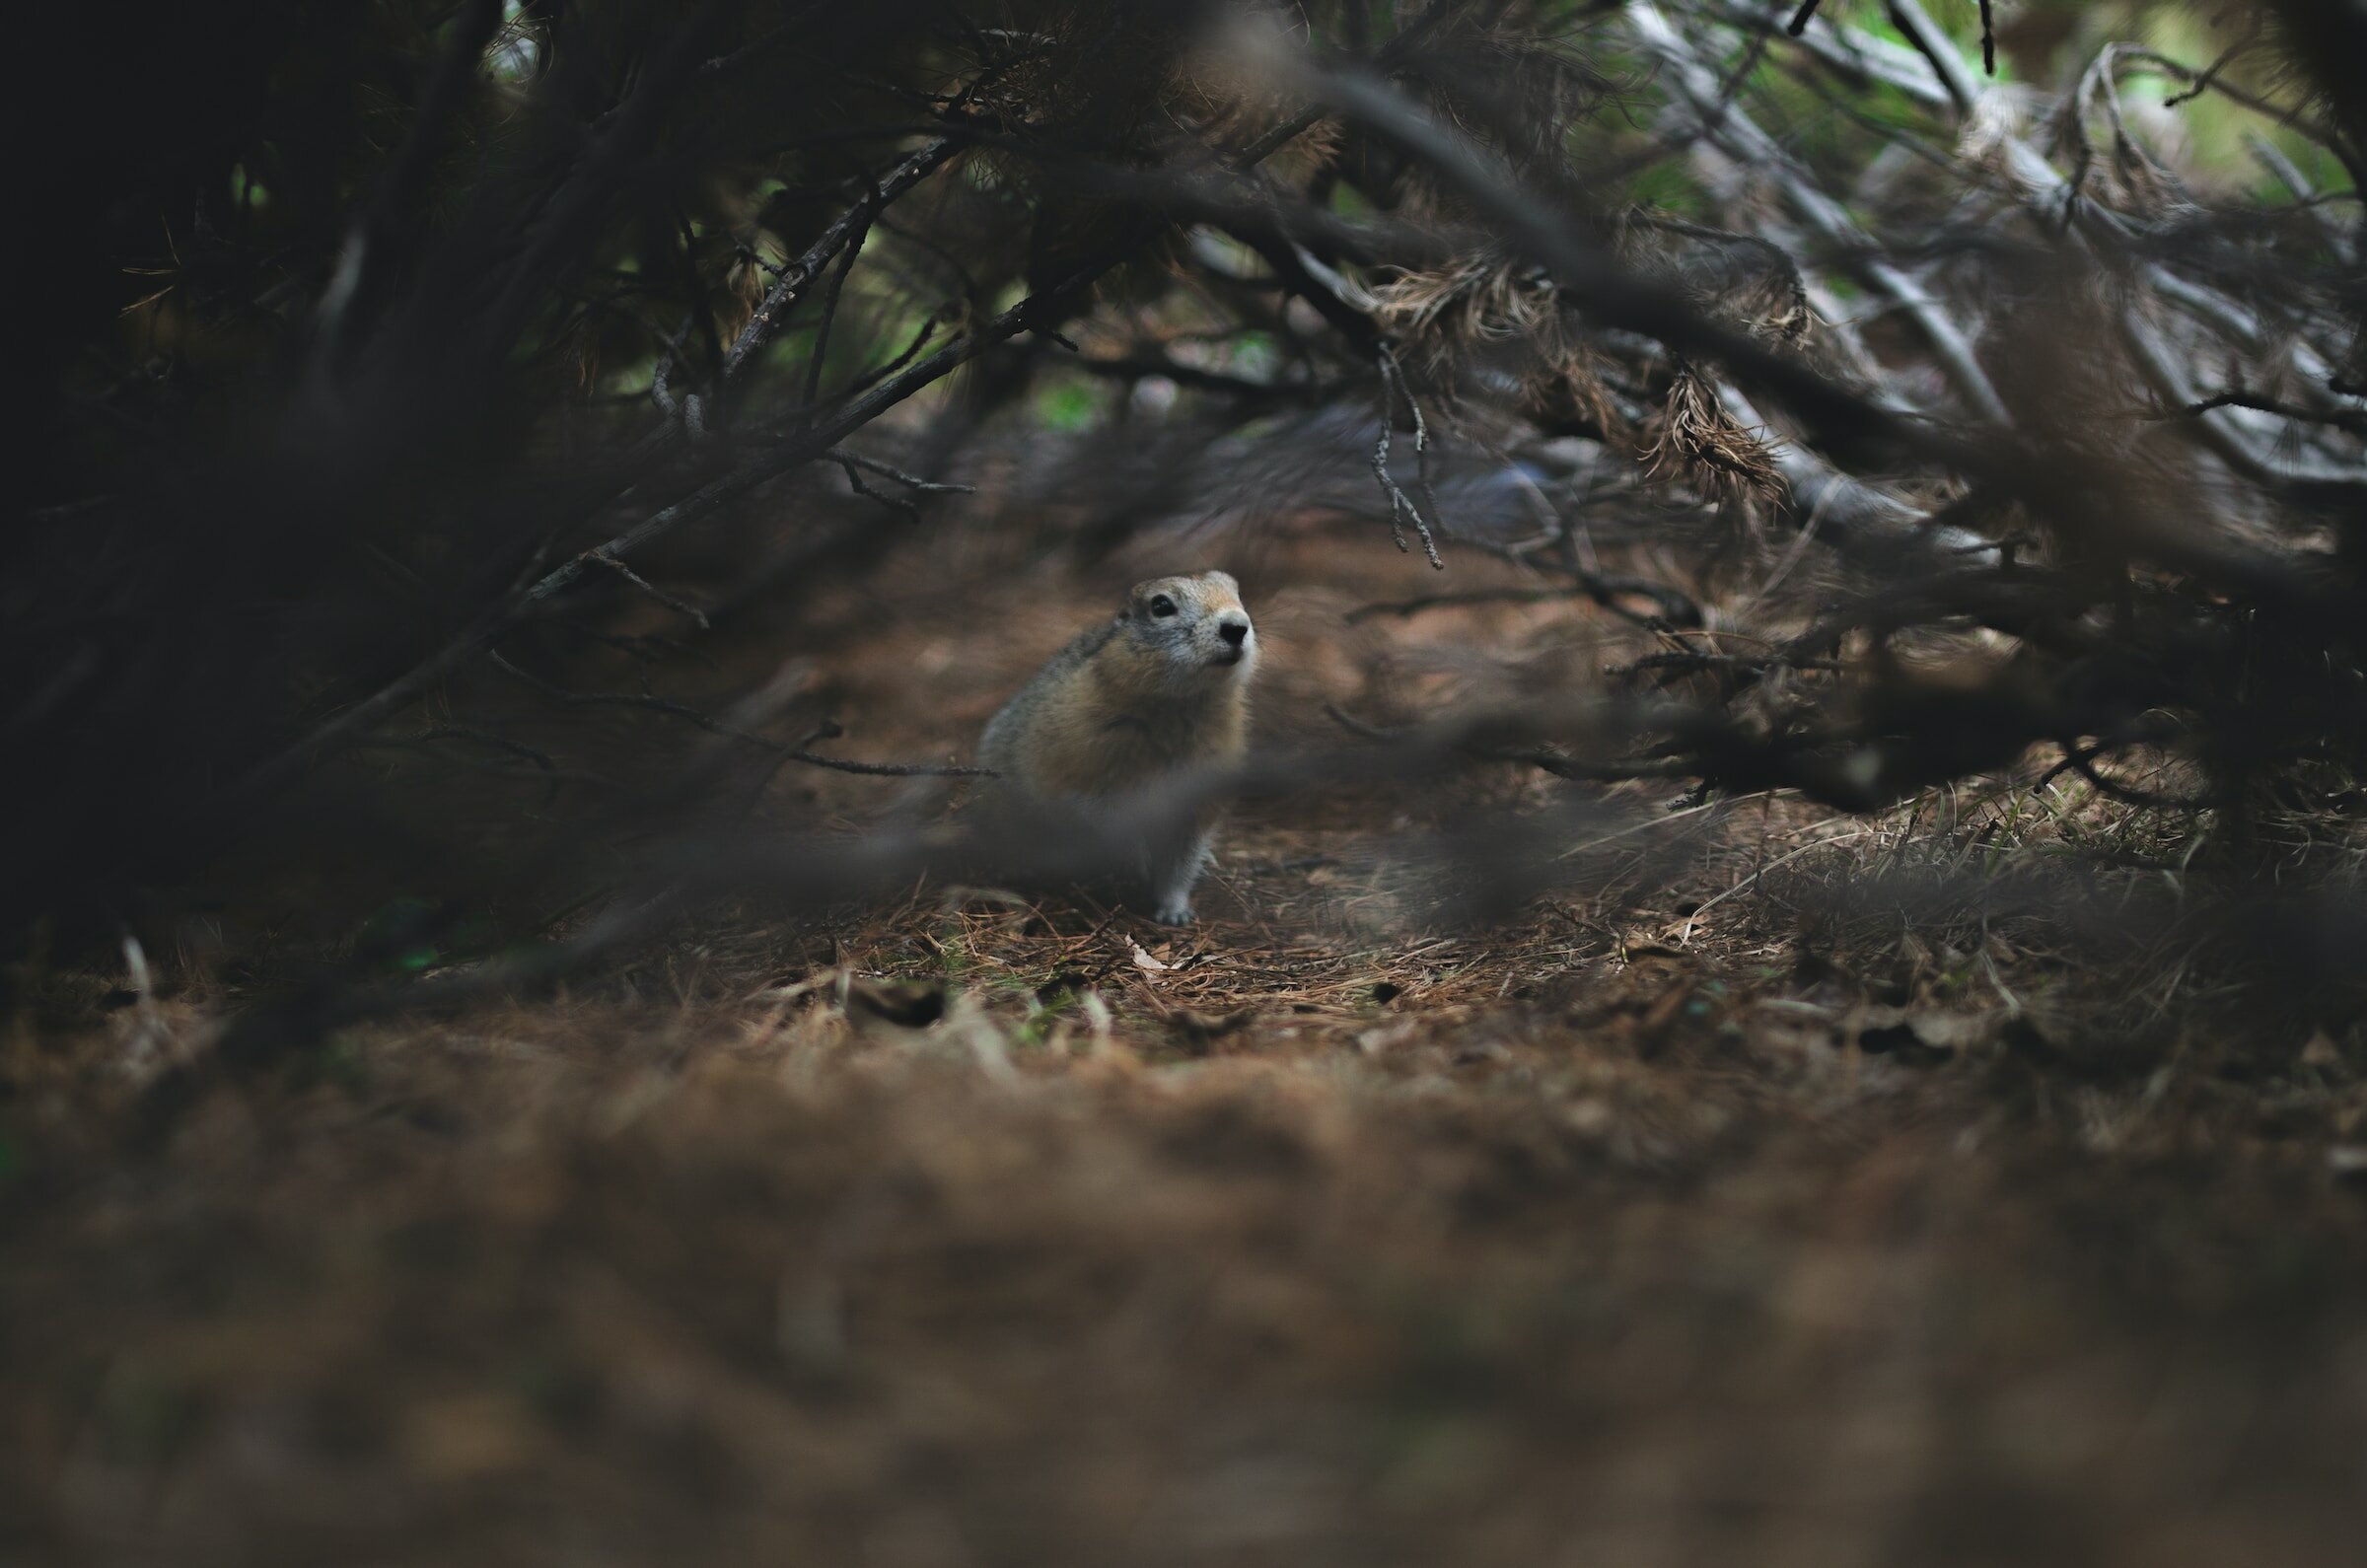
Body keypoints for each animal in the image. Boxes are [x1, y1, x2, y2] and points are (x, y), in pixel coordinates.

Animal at [974, 575, 1258, 923]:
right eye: (1161, 605)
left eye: (1235, 591)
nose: (1237, 626)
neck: (1177, 708)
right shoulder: (1086, 768)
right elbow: (1103, 817)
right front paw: (1138, 863)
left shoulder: (1197, 794)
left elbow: (1180, 862)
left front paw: (1175, 911)